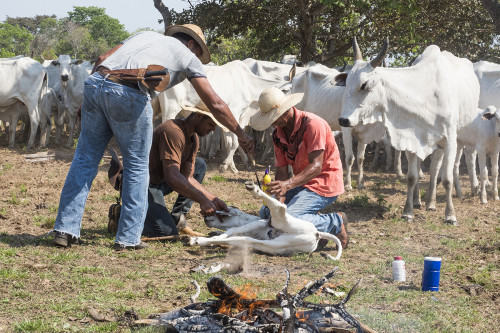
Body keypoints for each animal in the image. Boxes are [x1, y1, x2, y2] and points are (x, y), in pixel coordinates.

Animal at [189, 179, 342, 260]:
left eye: (221, 215)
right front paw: (215, 234)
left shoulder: (257, 223)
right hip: (276, 245)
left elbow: (231, 230)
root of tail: (317, 233)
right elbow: (227, 233)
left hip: (281, 221)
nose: (205, 217)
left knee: (280, 207)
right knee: (246, 240)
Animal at [336, 39, 480, 226]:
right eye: (346, 84)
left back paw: (431, 202)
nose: (343, 120)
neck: (423, 95)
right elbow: (411, 177)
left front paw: (450, 215)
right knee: (423, 168)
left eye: (364, 85)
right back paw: (419, 201)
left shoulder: (450, 140)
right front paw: (407, 211)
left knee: (435, 169)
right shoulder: (412, 137)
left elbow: (447, 179)